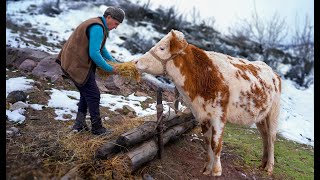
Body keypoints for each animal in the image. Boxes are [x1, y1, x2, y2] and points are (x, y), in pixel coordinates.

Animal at [134, 29, 282, 176]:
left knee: (271, 137)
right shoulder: (202, 115)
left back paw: (269, 167)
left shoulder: (219, 115)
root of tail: (273, 73)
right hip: (261, 117)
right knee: (264, 137)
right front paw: (206, 169)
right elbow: (207, 142)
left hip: (273, 113)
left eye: (162, 48)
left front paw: (216, 171)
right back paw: (262, 164)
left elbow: (216, 143)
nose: (136, 61)